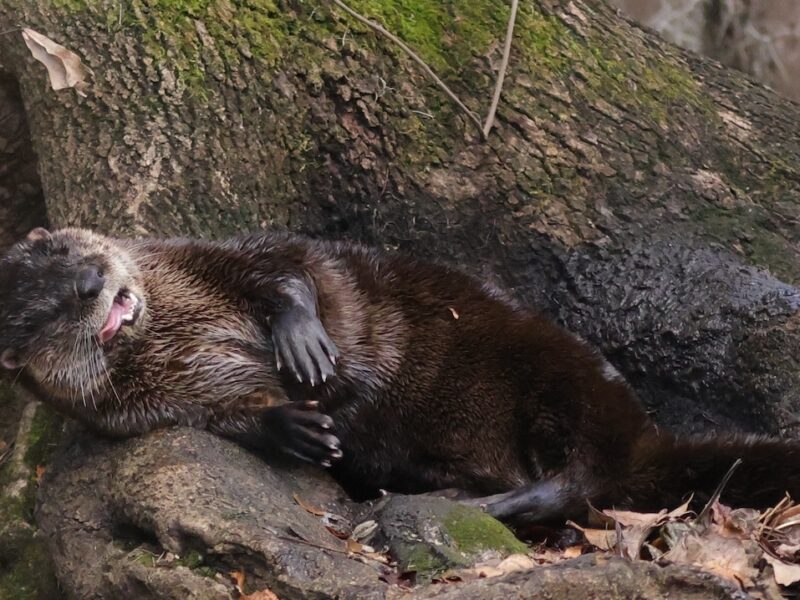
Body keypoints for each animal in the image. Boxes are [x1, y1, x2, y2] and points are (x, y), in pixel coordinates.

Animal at [1, 227, 799, 523]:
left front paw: (302, 339)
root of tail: (645, 435)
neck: (179, 323)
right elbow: (228, 417)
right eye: (43, 312)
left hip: (560, 377)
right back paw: (463, 500)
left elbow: (284, 269)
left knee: (587, 473)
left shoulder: (207, 254)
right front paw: (294, 427)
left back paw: (492, 505)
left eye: (68, 251)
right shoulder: (143, 410)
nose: (93, 282)